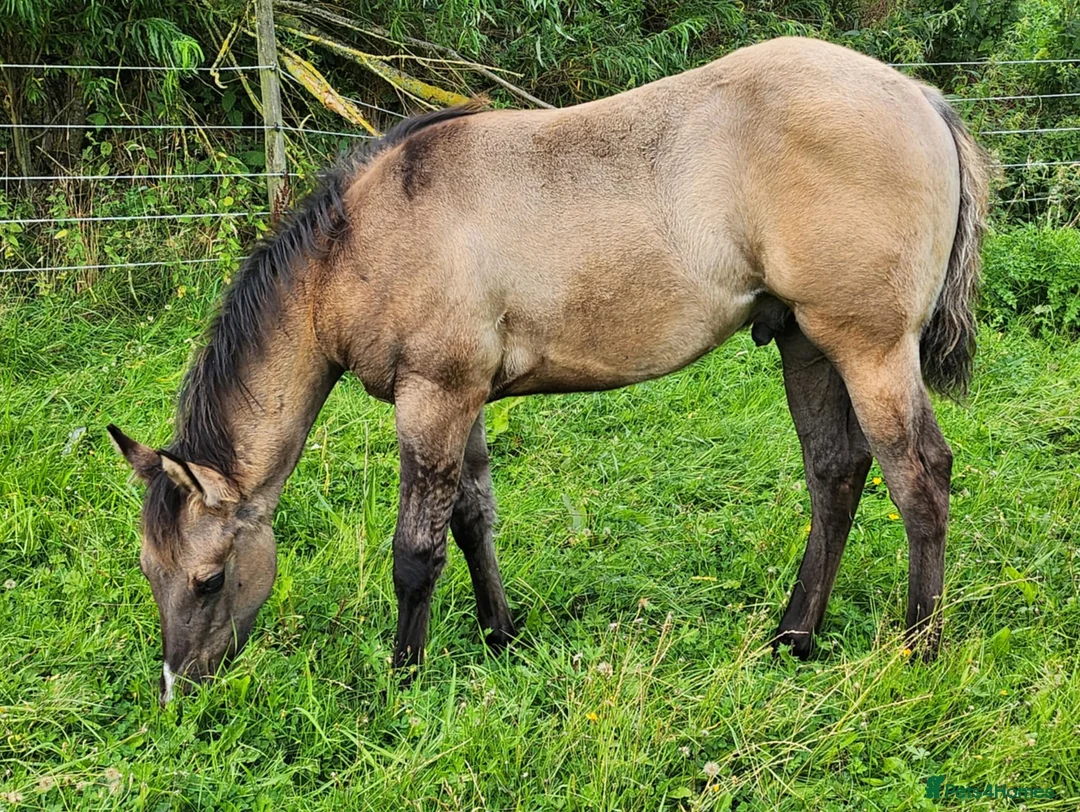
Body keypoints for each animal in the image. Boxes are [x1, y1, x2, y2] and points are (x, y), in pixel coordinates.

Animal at [107, 36, 990, 704]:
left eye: (209, 579)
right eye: (150, 570)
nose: (180, 691)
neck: (359, 241)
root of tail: (923, 100)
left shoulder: (433, 398)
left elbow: (415, 553)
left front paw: (402, 679)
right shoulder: (460, 399)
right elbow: (471, 520)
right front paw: (499, 634)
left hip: (869, 348)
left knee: (920, 476)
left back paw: (920, 647)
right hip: (805, 342)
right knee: (836, 473)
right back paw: (794, 635)